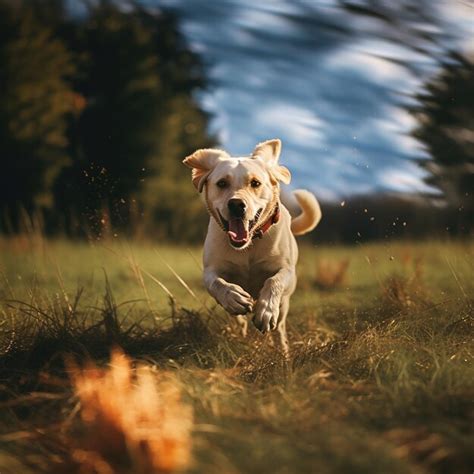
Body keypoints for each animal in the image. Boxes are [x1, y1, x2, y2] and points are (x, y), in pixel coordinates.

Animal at [183, 139, 320, 354]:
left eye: (255, 183)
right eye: (222, 183)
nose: (236, 204)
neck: (248, 245)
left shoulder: (288, 272)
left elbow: (274, 281)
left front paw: (266, 311)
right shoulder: (210, 270)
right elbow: (216, 283)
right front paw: (233, 297)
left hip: (285, 305)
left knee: (280, 327)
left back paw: (283, 352)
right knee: (240, 321)